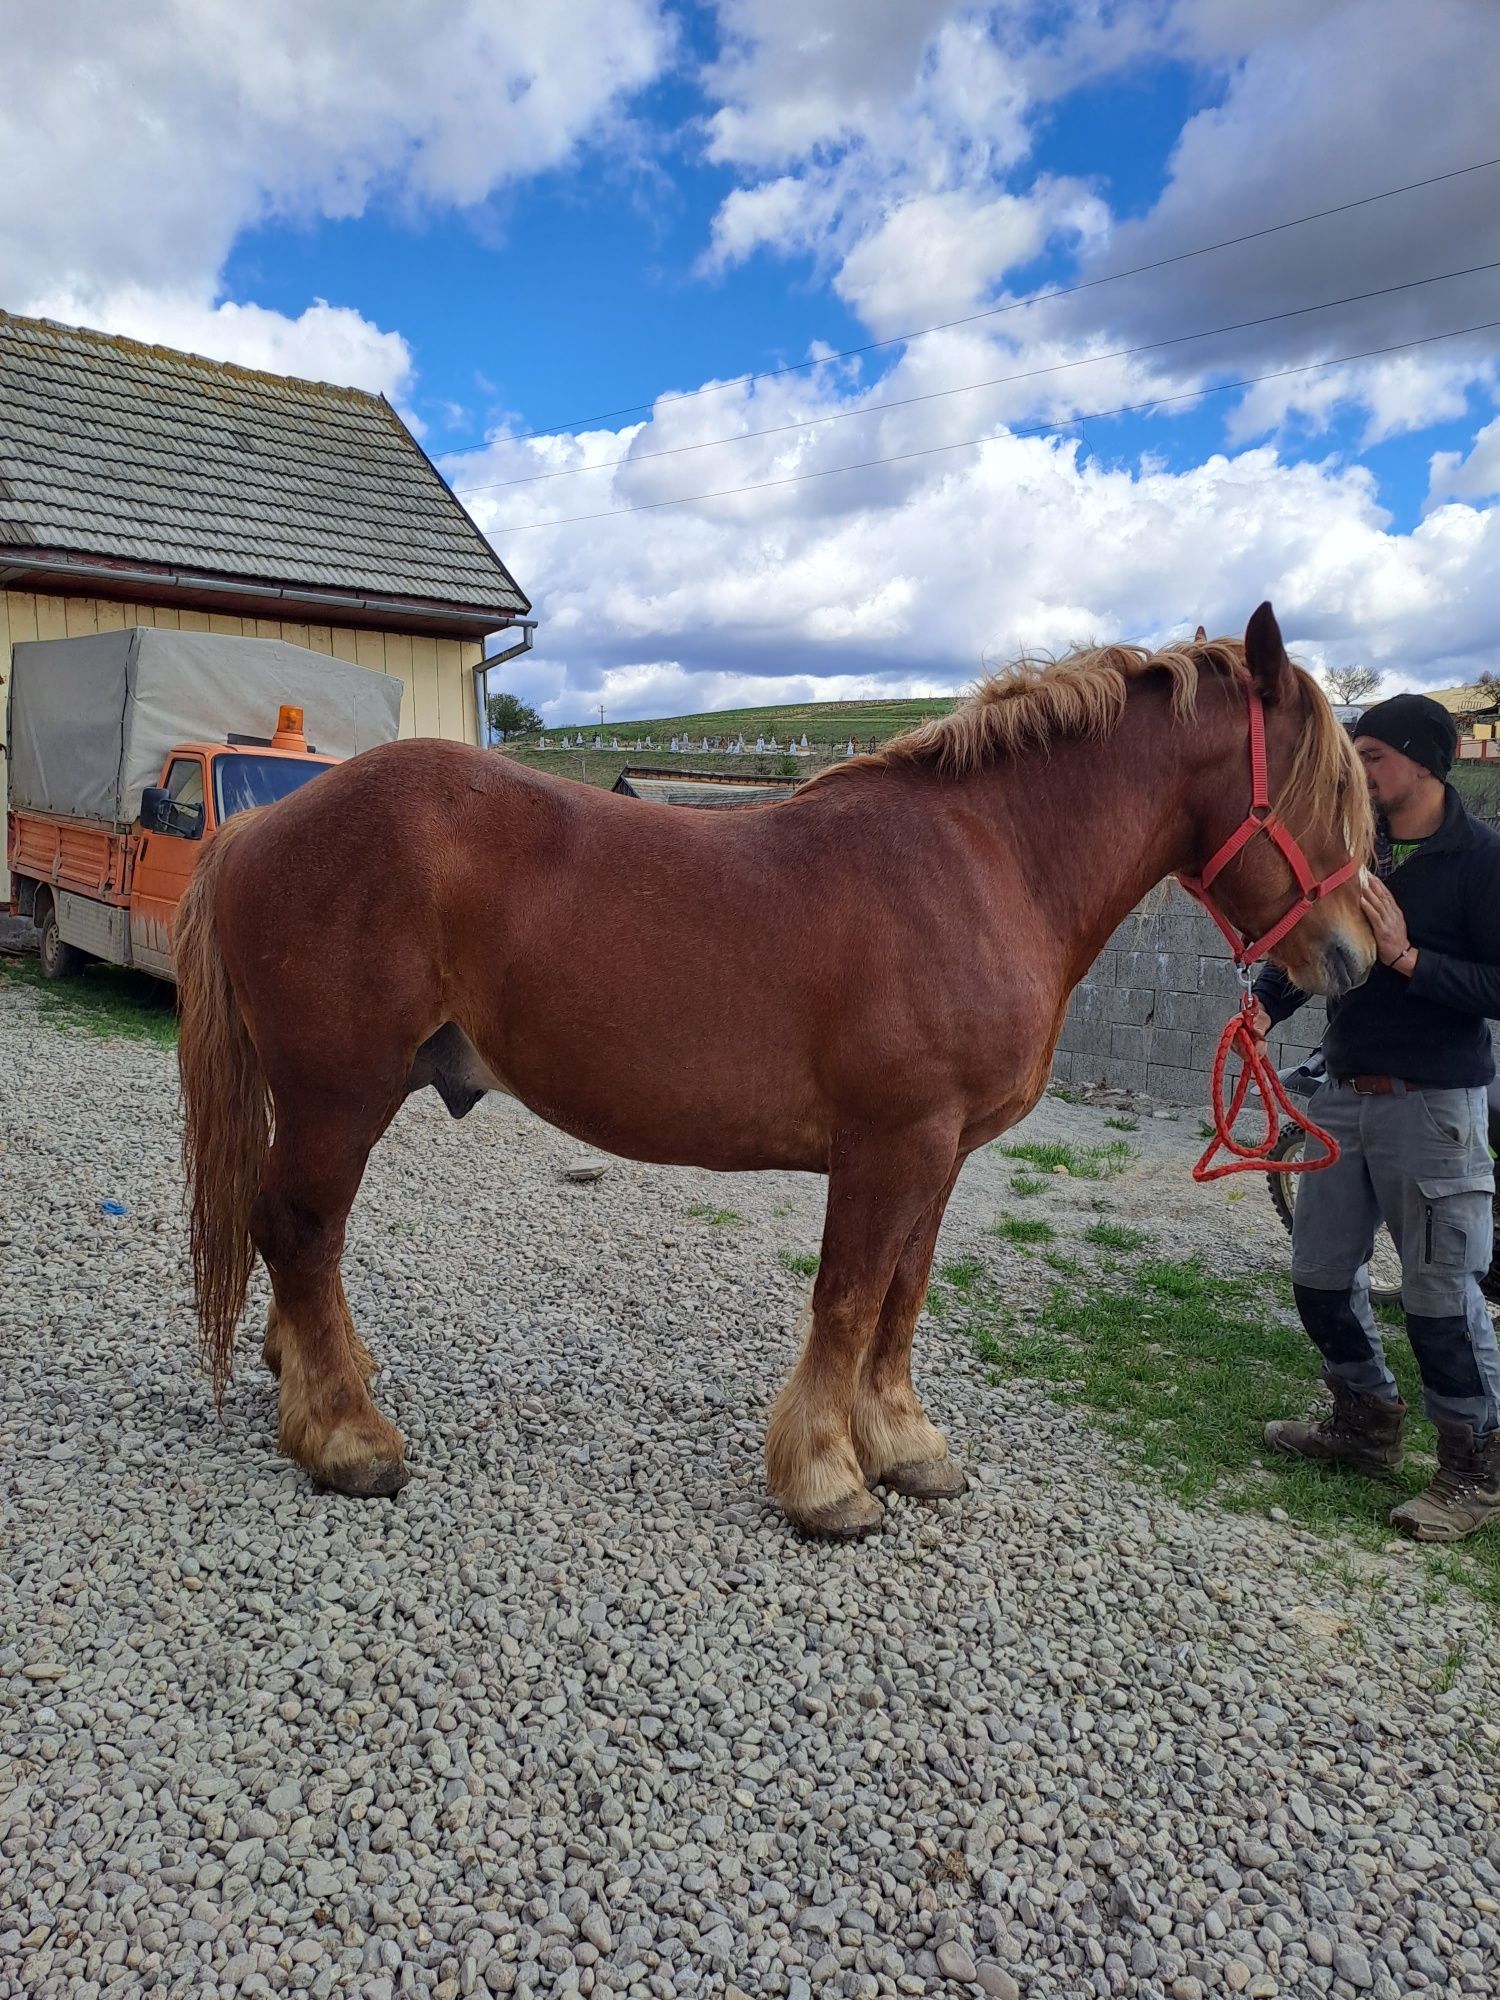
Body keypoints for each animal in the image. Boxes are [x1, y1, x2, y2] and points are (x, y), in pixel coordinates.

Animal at [176, 600, 1376, 1536]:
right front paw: (828, 1482)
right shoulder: (890, 1144)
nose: (1366, 952)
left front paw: (905, 1445)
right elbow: (846, 1299)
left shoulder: (941, 1154)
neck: (984, 866)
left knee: (304, 1241)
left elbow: (902, 1295)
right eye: (1325, 786)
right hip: (341, 1094)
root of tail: (261, 826)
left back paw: (317, 1385)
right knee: (300, 1229)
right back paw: (348, 1440)